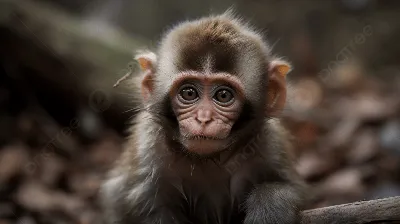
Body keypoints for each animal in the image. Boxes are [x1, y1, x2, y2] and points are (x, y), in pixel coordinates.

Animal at [100, 12, 306, 224]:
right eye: (189, 93)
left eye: (223, 95)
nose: (204, 118)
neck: (207, 159)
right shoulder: (147, 149)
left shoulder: (270, 144)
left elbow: (291, 188)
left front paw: (268, 208)